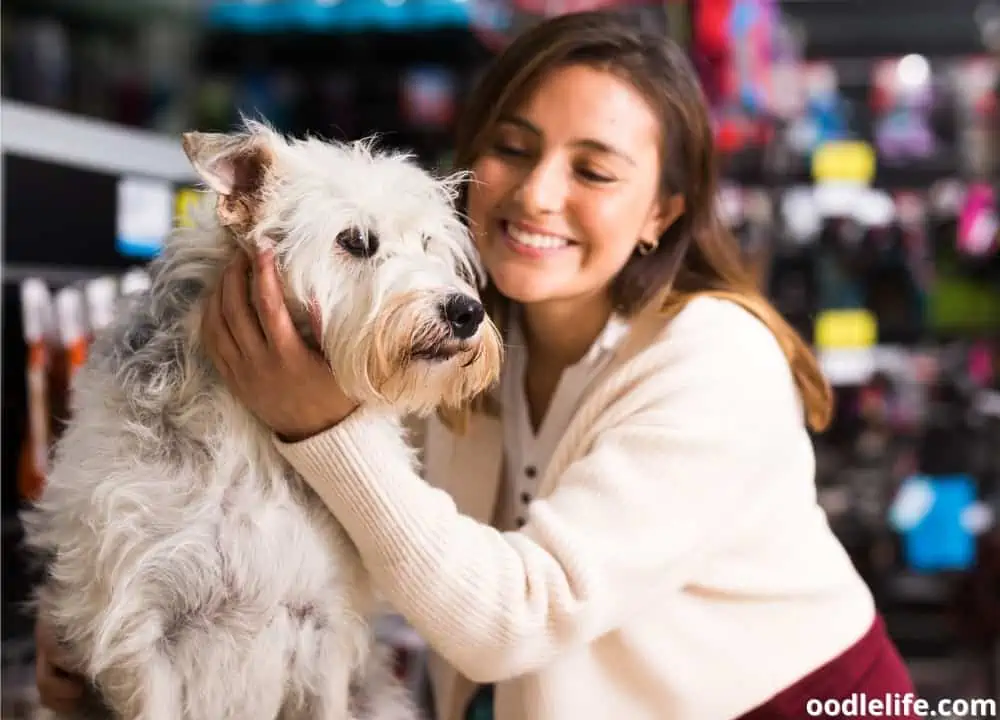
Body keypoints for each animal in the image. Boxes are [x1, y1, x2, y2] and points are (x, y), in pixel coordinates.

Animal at [23, 122, 504, 720]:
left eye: (428, 244)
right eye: (355, 240)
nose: (467, 312)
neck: (254, 447)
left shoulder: (326, 626)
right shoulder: (142, 632)